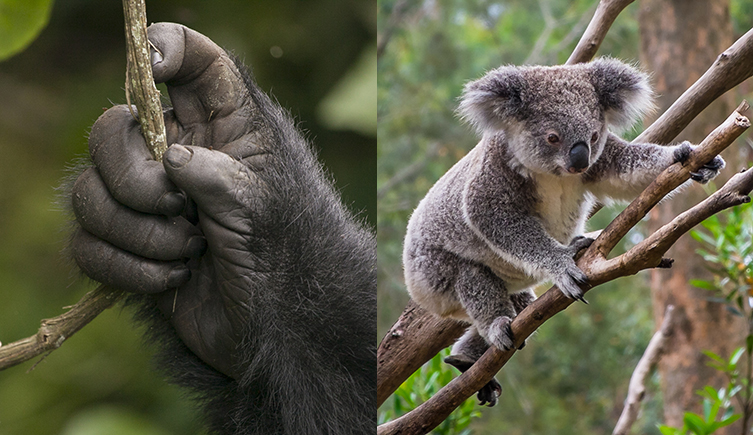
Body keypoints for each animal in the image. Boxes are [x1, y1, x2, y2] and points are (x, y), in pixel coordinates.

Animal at [402, 58, 724, 406]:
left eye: (594, 136)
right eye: (553, 138)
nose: (579, 161)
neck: (553, 174)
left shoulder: (602, 162)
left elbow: (626, 170)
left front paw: (690, 156)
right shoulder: (494, 178)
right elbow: (493, 217)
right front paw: (563, 265)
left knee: (522, 309)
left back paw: (466, 358)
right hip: (435, 274)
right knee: (473, 281)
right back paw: (496, 328)